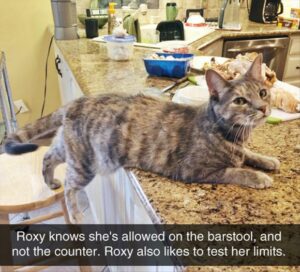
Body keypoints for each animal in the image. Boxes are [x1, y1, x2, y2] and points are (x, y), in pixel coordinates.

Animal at [4, 54, 278, 223]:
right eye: (240, 101)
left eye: (263, 92)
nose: (263, 108)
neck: (230, 133)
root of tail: (76, 102)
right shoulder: (197, 171)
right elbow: (235, 171)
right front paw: (257, 176)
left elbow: (250, 155)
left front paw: (267, 160)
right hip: (84, 164)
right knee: (70, 186)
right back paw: (75, 213)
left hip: (68, 148)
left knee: (48, 157)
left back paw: (50, 182)